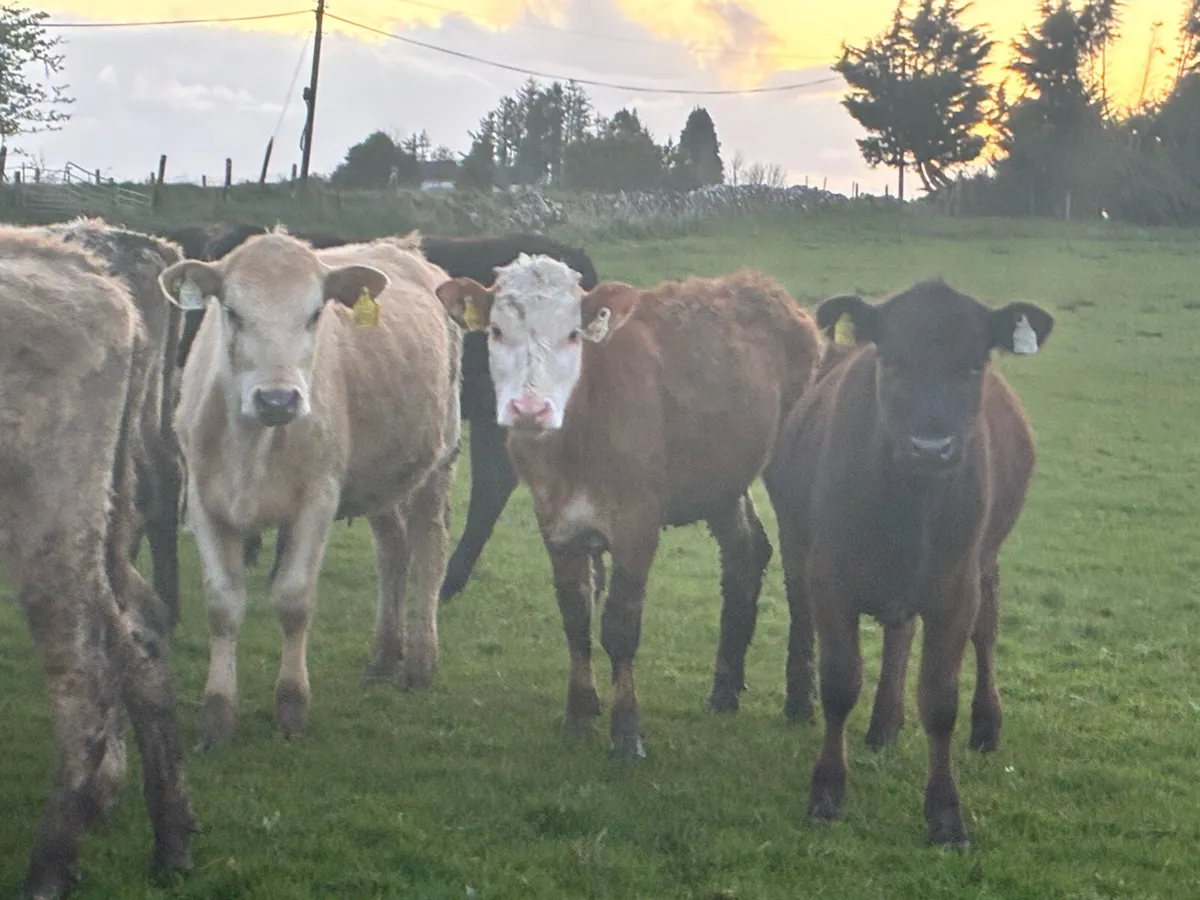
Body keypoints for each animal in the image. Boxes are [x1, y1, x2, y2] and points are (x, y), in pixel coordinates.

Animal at [159, 229, 461, 750]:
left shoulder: (318, 499)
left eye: (316, 312)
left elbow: (294, 600)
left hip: (437, 460)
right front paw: (217, 714)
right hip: (379, 476)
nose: (278, 399)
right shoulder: (202, 499)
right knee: (393, 553)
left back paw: (420, 662)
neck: (253, 443)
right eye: (232, 311)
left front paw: (291, 705)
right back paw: (384, 656)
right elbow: (222, 605)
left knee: (429, 551)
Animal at [436, 256, 821, 760]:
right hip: (720, 475)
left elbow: (620, 625)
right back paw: (724, 689)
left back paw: (800, 700)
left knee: (798, 571)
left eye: (574, 334)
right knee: (745, 553)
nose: (530, 409)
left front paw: (626, 732)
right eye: (497, 331)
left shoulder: (638, 523)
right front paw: (579, 714)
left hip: (788, 463)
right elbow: (575, 616)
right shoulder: (555, 521)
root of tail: (764, 286)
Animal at [761, 278, 1054, 846]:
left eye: (972, 366)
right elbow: (840, 682)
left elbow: (940, 700)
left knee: (982, 634)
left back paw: (978, 725)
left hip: (985, 561)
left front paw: (945, 814)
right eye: (892, 361)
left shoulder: (956, 589)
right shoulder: (829, 579)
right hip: (796, 543)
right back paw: (831, 711)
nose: (931, 447)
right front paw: (827, 792)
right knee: (820, 621)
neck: (909, 505)